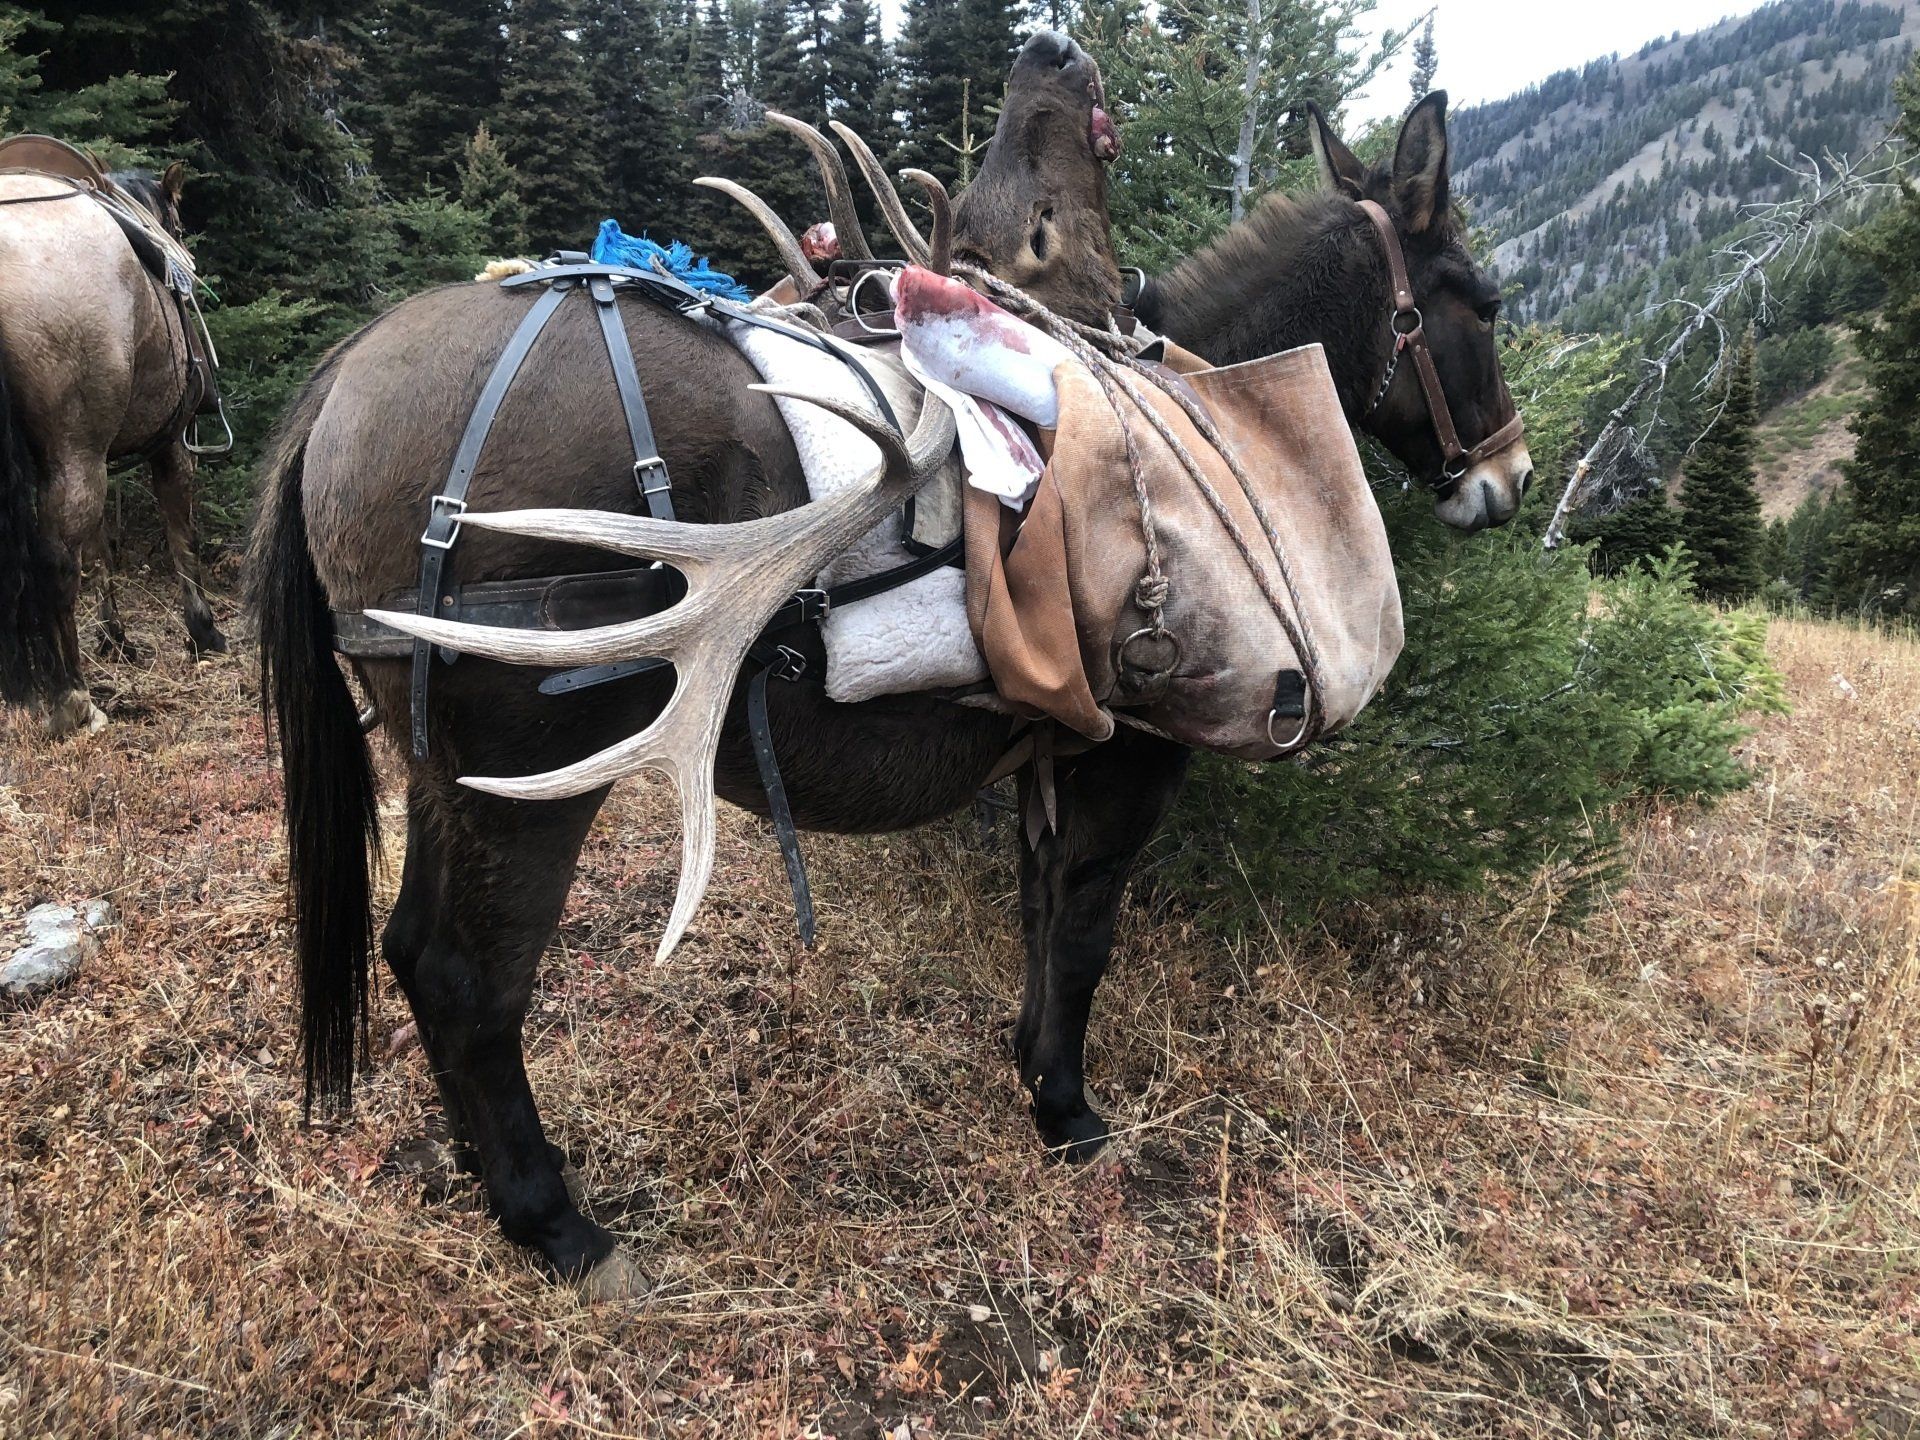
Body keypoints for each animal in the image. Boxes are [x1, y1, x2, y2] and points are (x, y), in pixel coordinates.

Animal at [0, 157, 227, 738]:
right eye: (179, 224)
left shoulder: (100, 452)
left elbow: (102, 549)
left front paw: (114, 636)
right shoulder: (168, 444)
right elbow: (181, 533)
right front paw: (203, 632)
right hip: (75, 453)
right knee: (56, 561)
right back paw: (74, 700)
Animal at [249, 33, 1528, 1298]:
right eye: (1485, 301)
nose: (1506, 479)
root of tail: (333, 392)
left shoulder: (1052, 743)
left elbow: (1038, 911)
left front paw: (1029, 1065)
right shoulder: (1142, 745)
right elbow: (1085, 932)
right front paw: (1068, 1110)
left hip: (437, 759)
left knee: (405, 946)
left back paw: (487, 1170)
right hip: (536, 760)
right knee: (465, 976)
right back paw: (556, 1223)